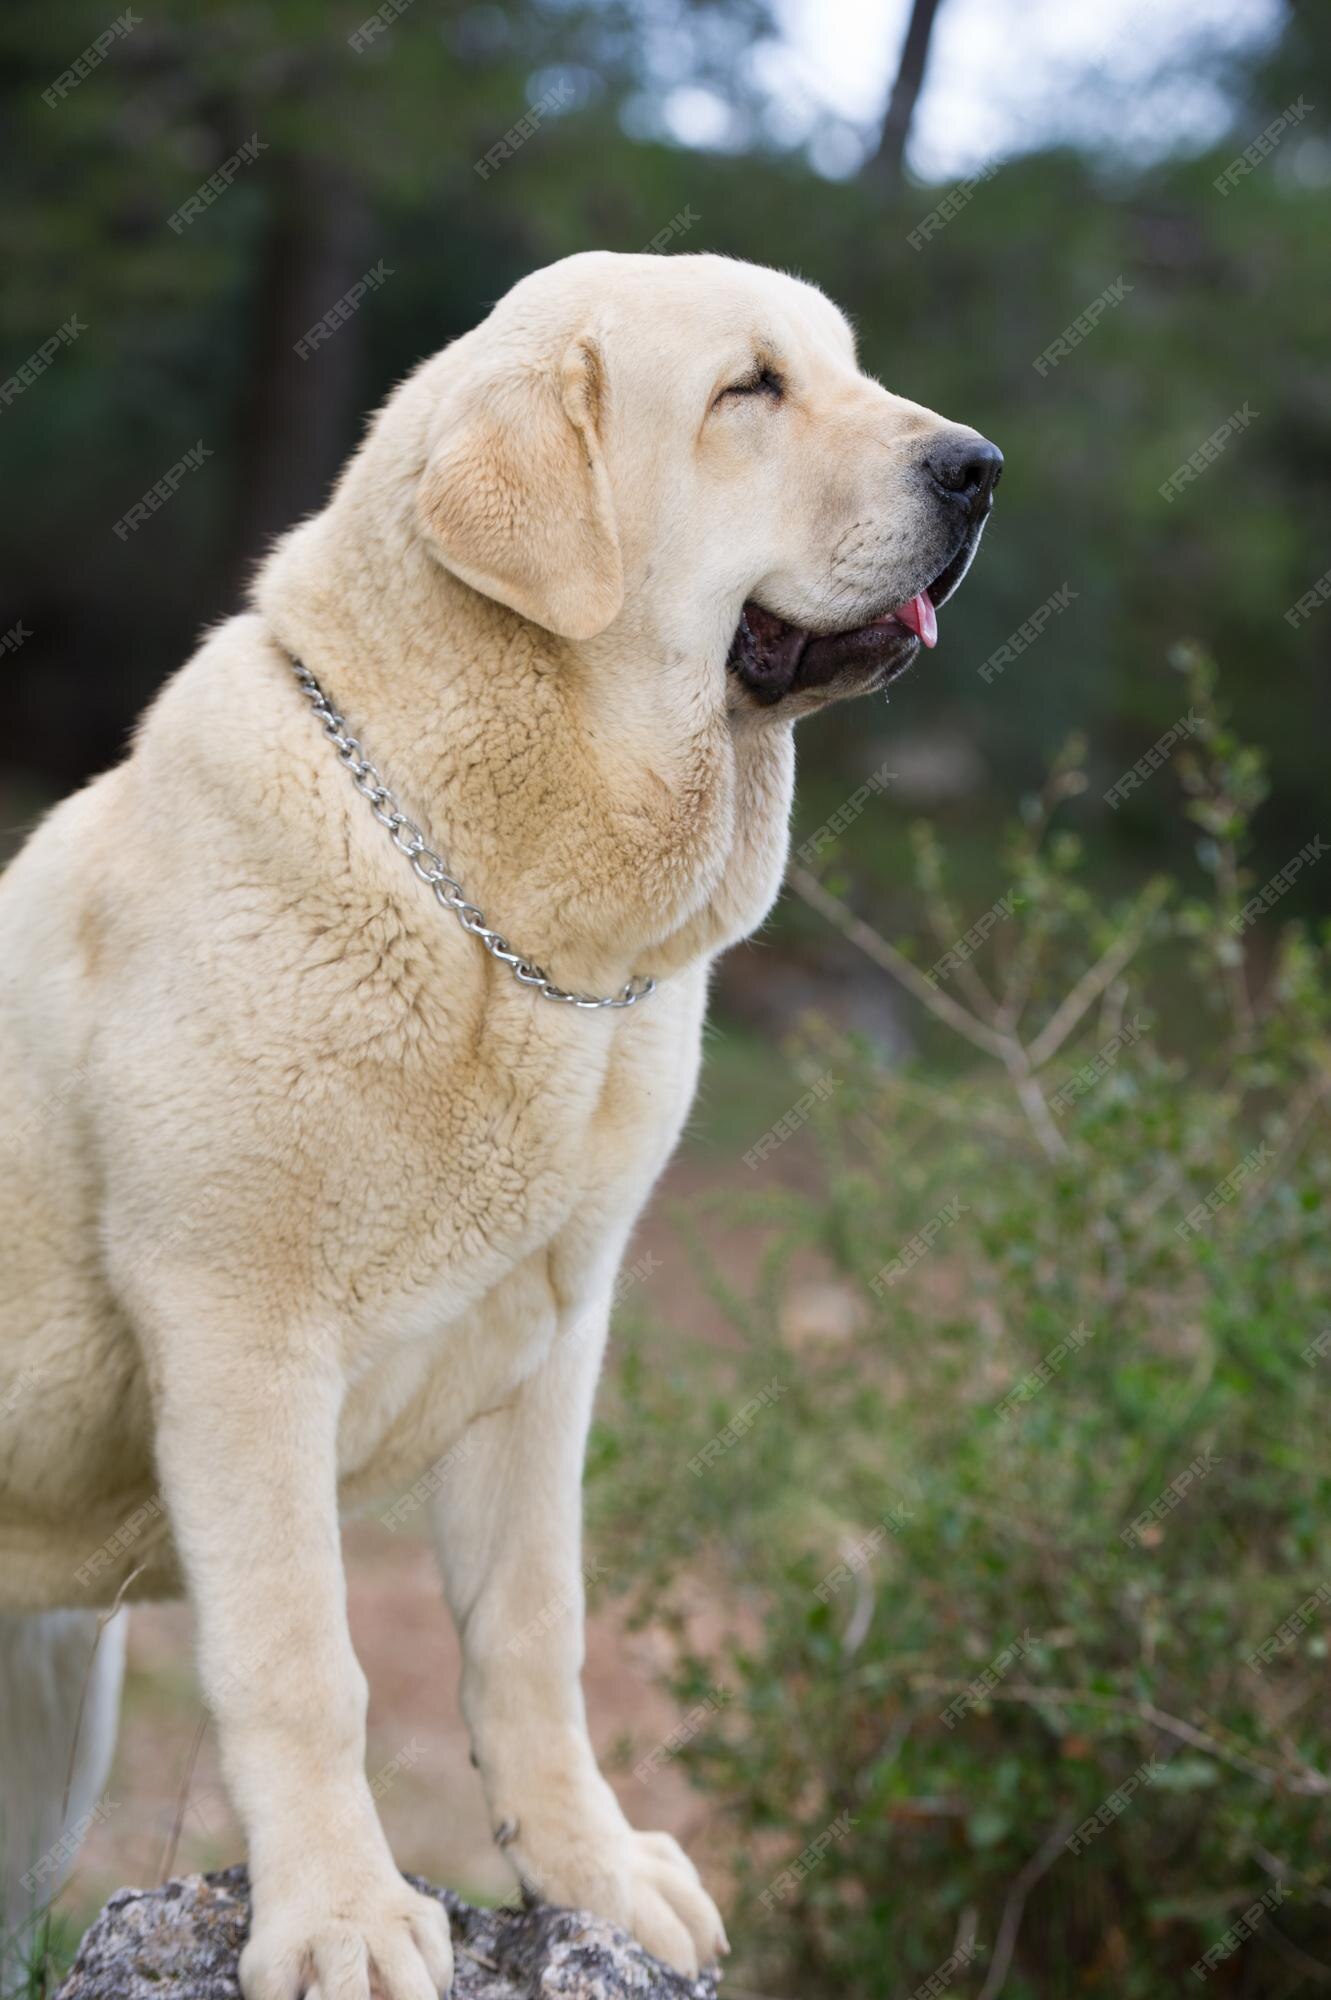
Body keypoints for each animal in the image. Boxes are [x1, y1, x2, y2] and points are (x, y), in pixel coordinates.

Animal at [0, 254, 995, 2000]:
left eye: (846, 368)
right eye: (749, 391)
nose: (978, 470)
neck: (495, 920)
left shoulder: (544, 1349)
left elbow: (533, 1637)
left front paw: (588, 1873)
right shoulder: (239, 1340)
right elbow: (303, 1663)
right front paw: (339, 1915)